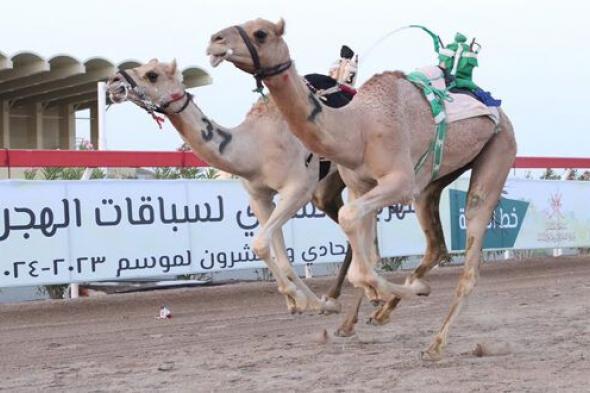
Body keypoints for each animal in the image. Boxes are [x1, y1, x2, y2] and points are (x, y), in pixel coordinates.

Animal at [105, 59, 352, 314]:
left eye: (152, 74)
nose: (113, 82)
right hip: (329, 186)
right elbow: (279, 256)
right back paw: (335, 295)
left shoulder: (298, 188)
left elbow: (260, 244)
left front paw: (298, 297)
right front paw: (307, 302)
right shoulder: (259, 197)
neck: (255, 146)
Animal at [207, 19, 520, 362]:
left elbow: (351, 225)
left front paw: (397, 292)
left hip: (498, 151)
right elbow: (361, 255)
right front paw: (381, 297)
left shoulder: (398, 182)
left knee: (471, 253)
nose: (215, 40)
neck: (360, 127)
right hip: (432, 182)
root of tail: (499, 111)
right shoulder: (361, 185)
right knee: (435, 244)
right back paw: (383, 311)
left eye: (261, 33)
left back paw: (435, 344)